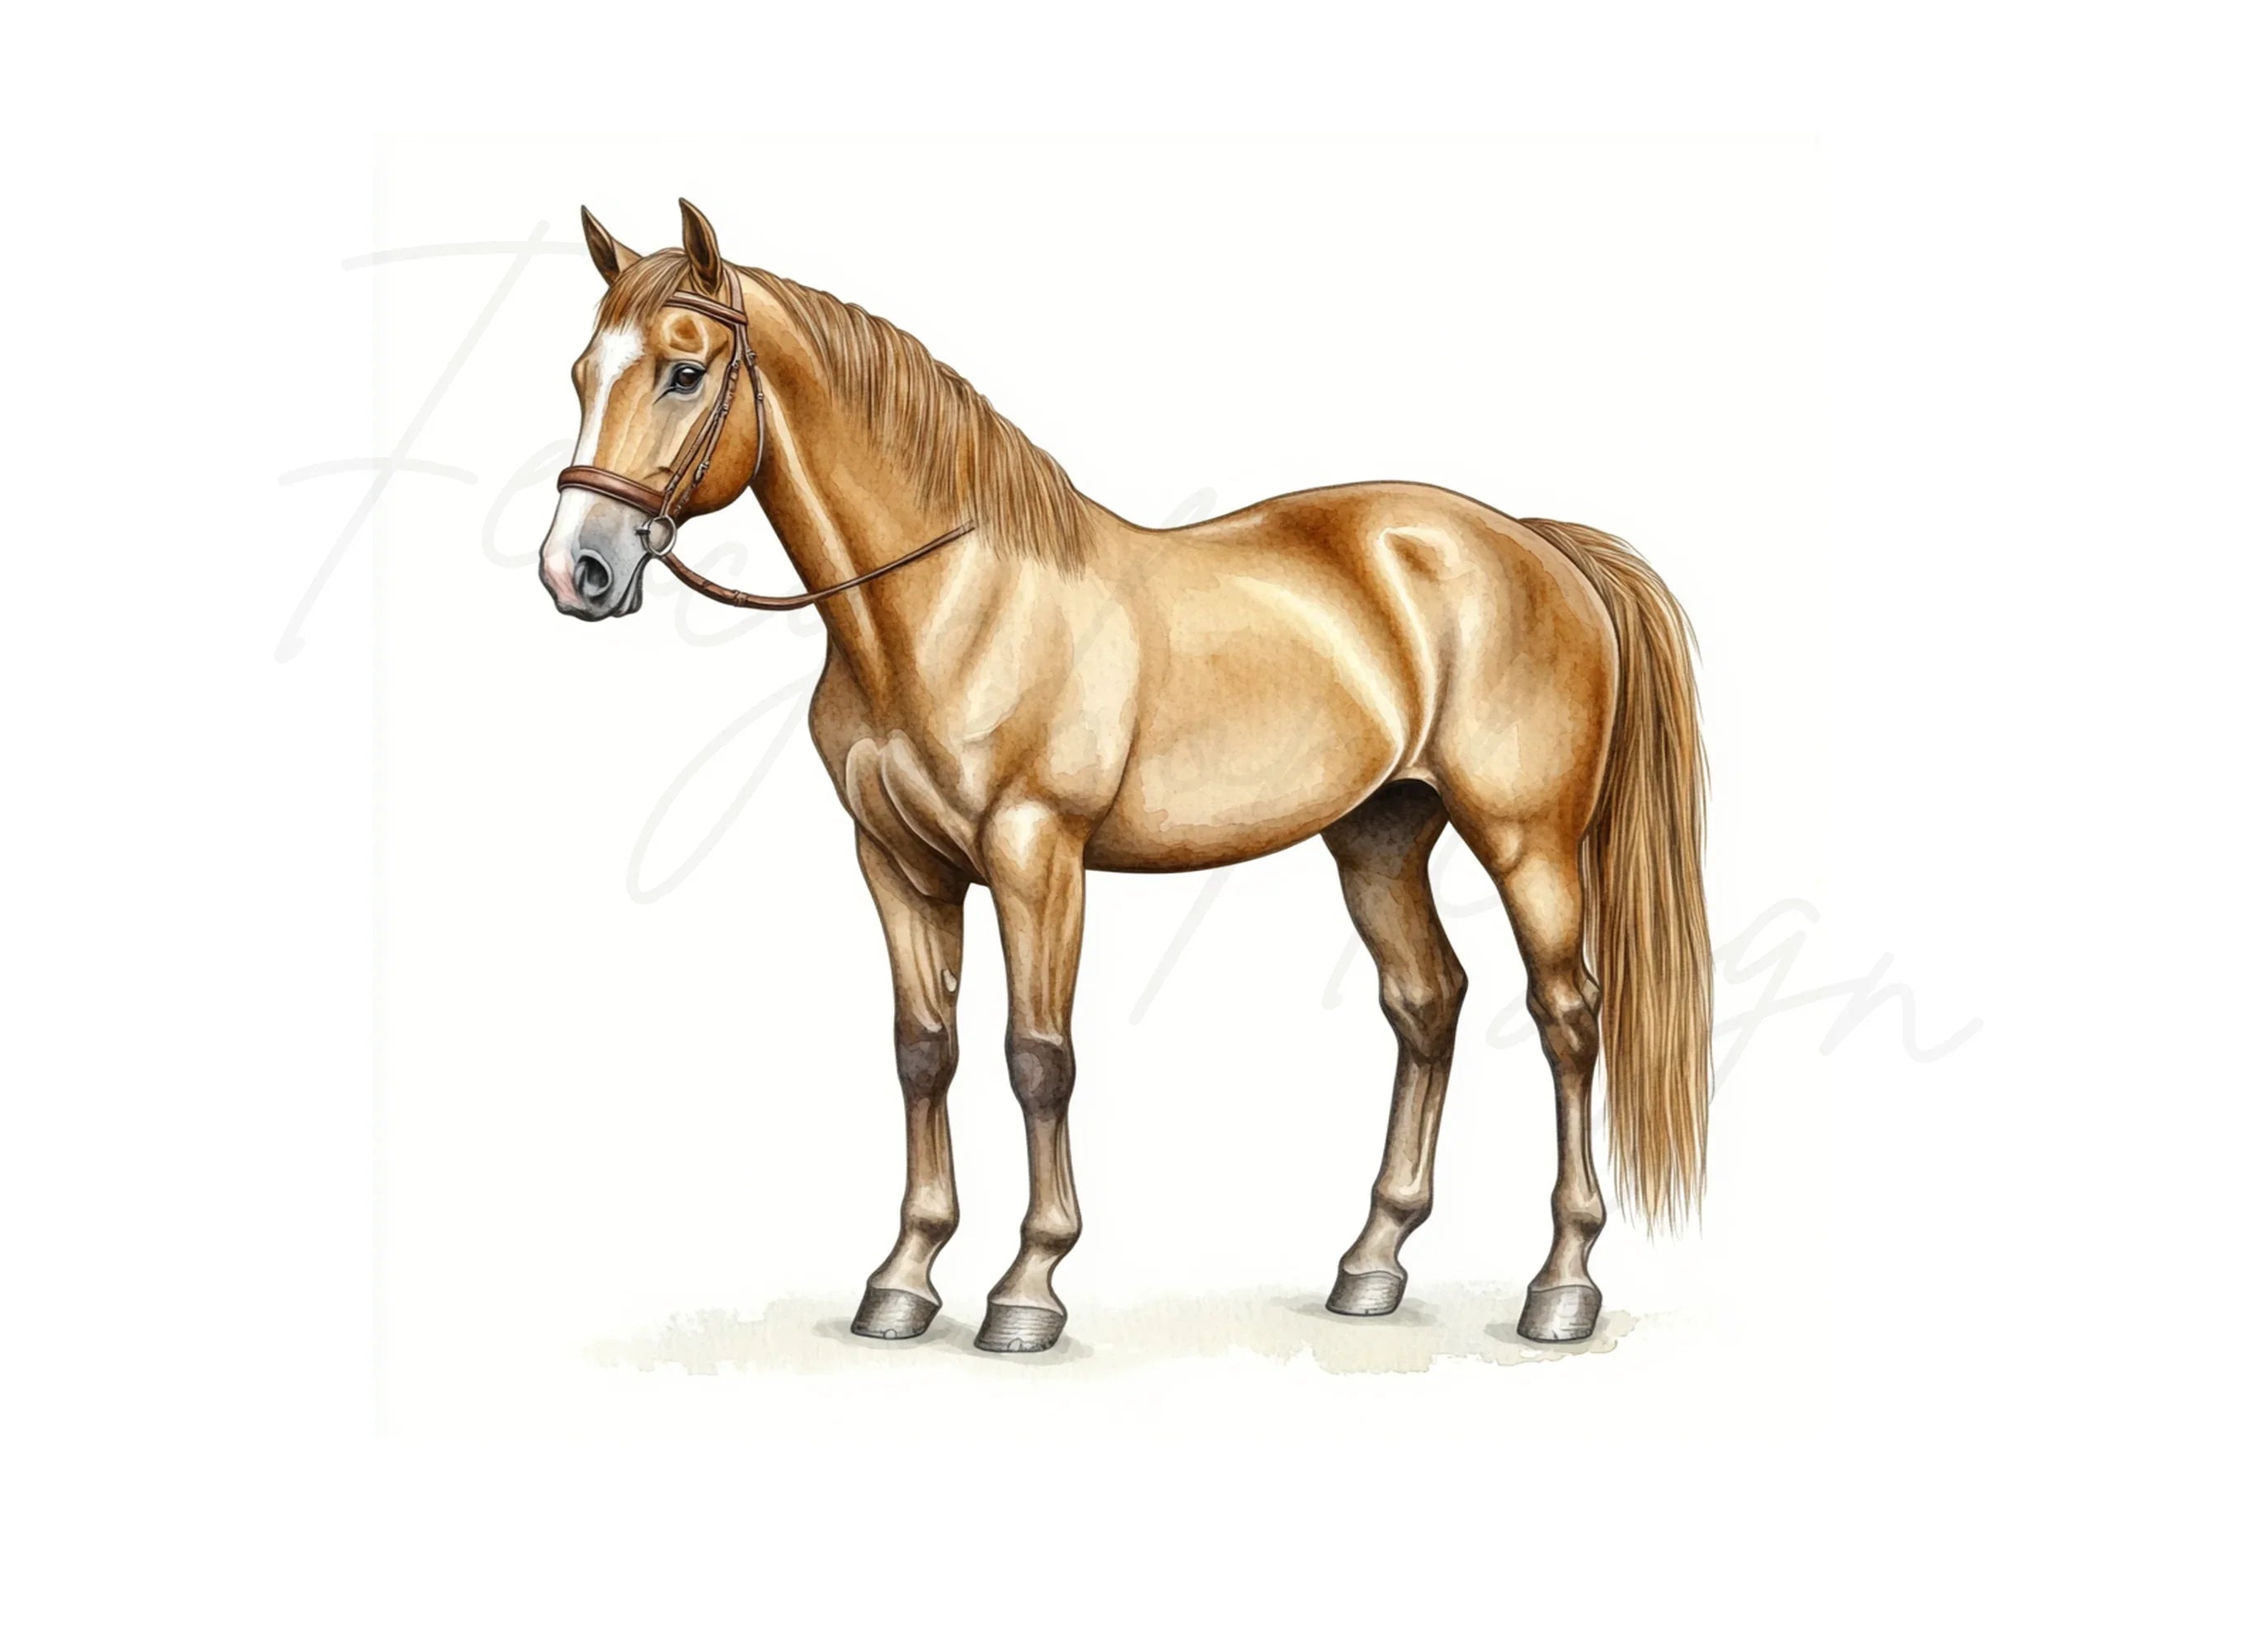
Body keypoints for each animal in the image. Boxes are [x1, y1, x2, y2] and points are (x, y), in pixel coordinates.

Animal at [539, 199, 1712, 1354]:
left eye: (684, 371)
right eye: (582, 373)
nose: (576, 569)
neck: (951, 603)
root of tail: (1536, 543)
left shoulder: (1035, 855)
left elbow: (1035, 1056)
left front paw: (1026, 1287)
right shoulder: (898, 864)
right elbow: (923, 1050)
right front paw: (903, 1279)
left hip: (1529, 844)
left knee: (1566, 1018)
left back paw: (1560, 1283)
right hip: (1379, 836)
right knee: (1427, 1004)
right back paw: (1370, 1265)